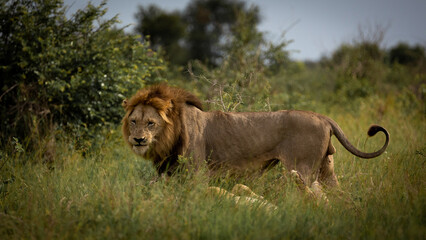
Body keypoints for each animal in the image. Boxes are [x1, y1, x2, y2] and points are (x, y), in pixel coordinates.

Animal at [120, 84, 390, 197]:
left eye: (151, 123)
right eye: (133, 121)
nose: (138, 139)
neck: (169, 137)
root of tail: (322, 117)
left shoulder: (197, 173)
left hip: (301, 168)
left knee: (311, 193)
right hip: (326, 168)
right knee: (338, 195)